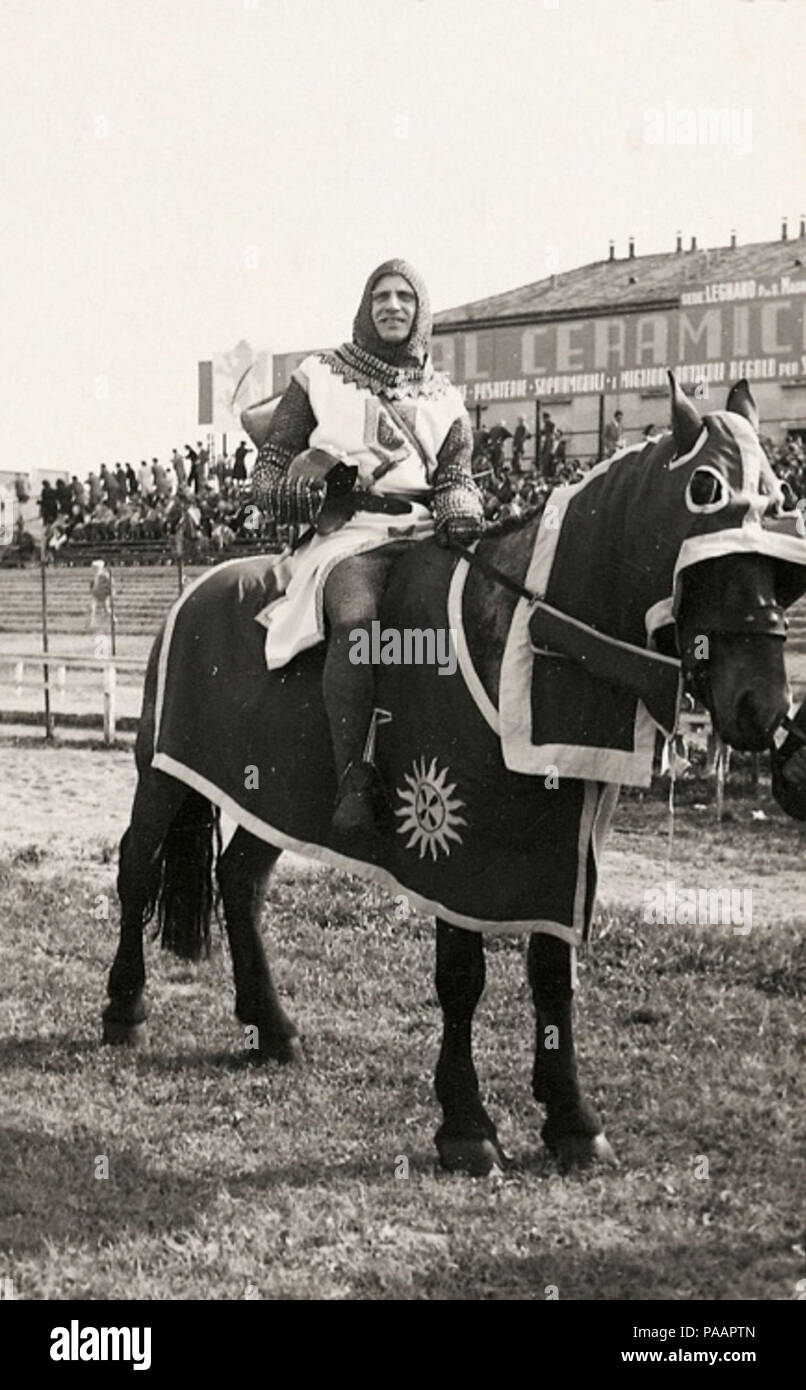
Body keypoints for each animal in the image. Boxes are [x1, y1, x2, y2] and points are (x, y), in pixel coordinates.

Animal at [104, 380, 805, 1173]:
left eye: (780, 497)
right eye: (705, 490)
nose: (761, 706)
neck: (523, 633)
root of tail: (195, 592)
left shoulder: (564, 846)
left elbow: (553, 975)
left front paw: (572, 1119)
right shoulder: (450, 840)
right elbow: (462, 978)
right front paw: (467, 1126)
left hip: (269, 795)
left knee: (241, 881)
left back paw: (271, 1026)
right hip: (163, 773)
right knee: (138, 864)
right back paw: (124, 1007)